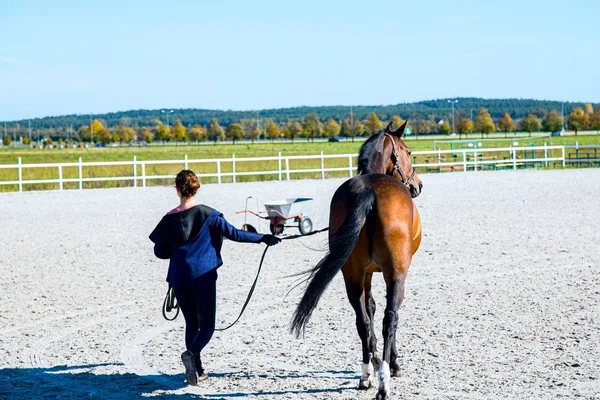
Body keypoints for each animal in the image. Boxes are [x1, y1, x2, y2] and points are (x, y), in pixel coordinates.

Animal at [290, 120, 422, 398]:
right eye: (408, 152)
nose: (417, 185)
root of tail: (370, 191)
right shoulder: (389, 273)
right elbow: (387, 315)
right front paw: (392, 363)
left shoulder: (367, 272)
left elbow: (369, 308)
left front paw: (374, 356)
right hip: (395, 272)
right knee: (390, 319)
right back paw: (384, 381)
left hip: (351, 273)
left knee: (362, 320)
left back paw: (366, 376)